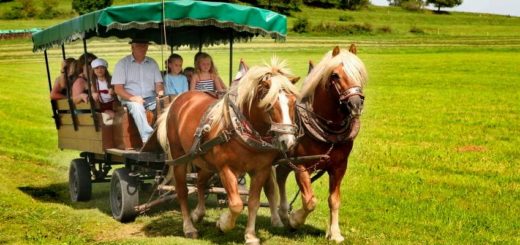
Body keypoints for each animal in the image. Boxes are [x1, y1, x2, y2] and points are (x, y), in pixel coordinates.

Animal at [156, 58, 298, 245]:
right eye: (269, 105)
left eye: (293, 102)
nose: (288, 141)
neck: (241, 130)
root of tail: (178, 100)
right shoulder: (225, 169)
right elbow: (236, 204)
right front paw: (223, 224)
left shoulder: (261, 170)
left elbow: (253, 202)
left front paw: (250, 235)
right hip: (180, 157)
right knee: (182, 191)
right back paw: (189, 227)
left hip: (206, 162)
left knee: (200, 183)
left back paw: (198, 214)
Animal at [274, 45, 368, 242]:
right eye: (335, 75)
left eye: (359, 73)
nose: (356, 104)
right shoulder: (301, 165)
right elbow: (310, 201)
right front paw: (295, 220)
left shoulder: (339, 167)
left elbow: (334, 200)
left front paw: (335, 233)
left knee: (280, 174)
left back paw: (283, 213)